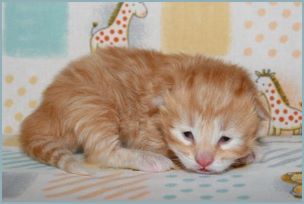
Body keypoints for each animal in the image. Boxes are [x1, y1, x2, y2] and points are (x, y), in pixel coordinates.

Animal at [19, 47, 268, 175]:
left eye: (225, 139)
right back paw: (149, 160)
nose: (203, 161)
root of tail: (46, 107)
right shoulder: (143, 126)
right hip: (92, 104)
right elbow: (171, 152)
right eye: (187, 135)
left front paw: (249, 151)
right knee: (102, 153)